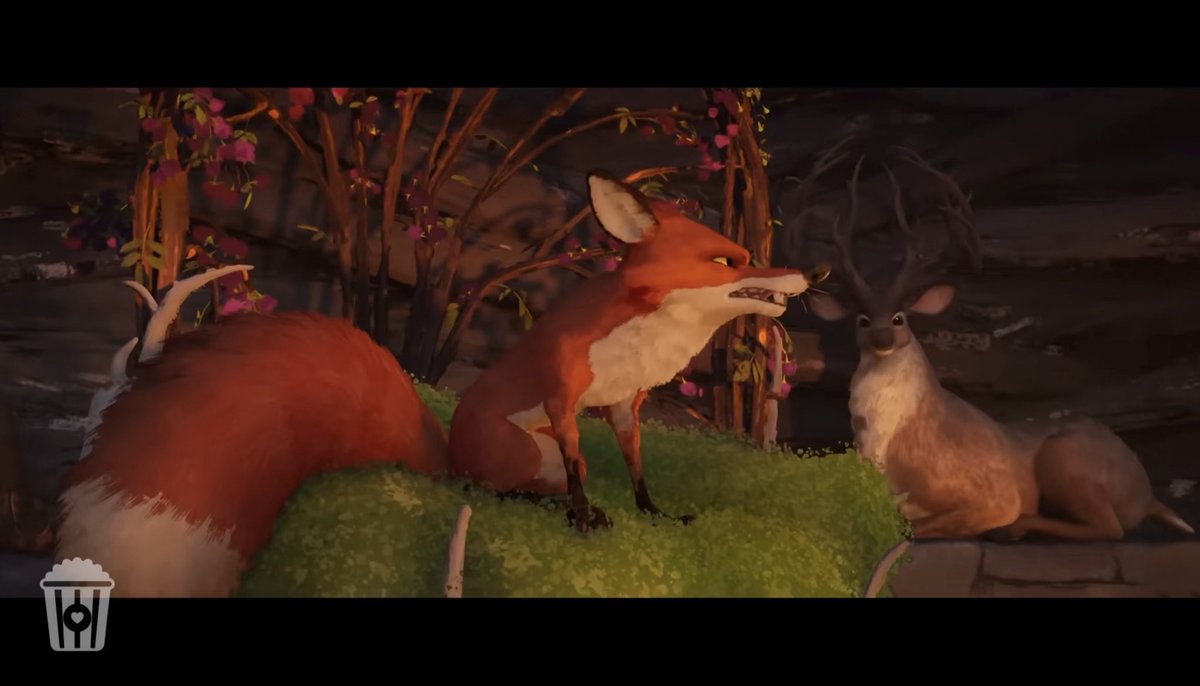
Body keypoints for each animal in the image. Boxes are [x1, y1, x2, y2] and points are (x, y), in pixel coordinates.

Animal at [53, 170, 818, 597]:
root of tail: (445, 453)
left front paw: (652, 514)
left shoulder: (625, 406)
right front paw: (583, 519)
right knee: (498, 488)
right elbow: (580, 472)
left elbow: (636, 472)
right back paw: (538, 505)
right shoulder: (563, 397)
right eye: (728, 260)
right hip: (523, 449)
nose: (806, 275)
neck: (650, 335)